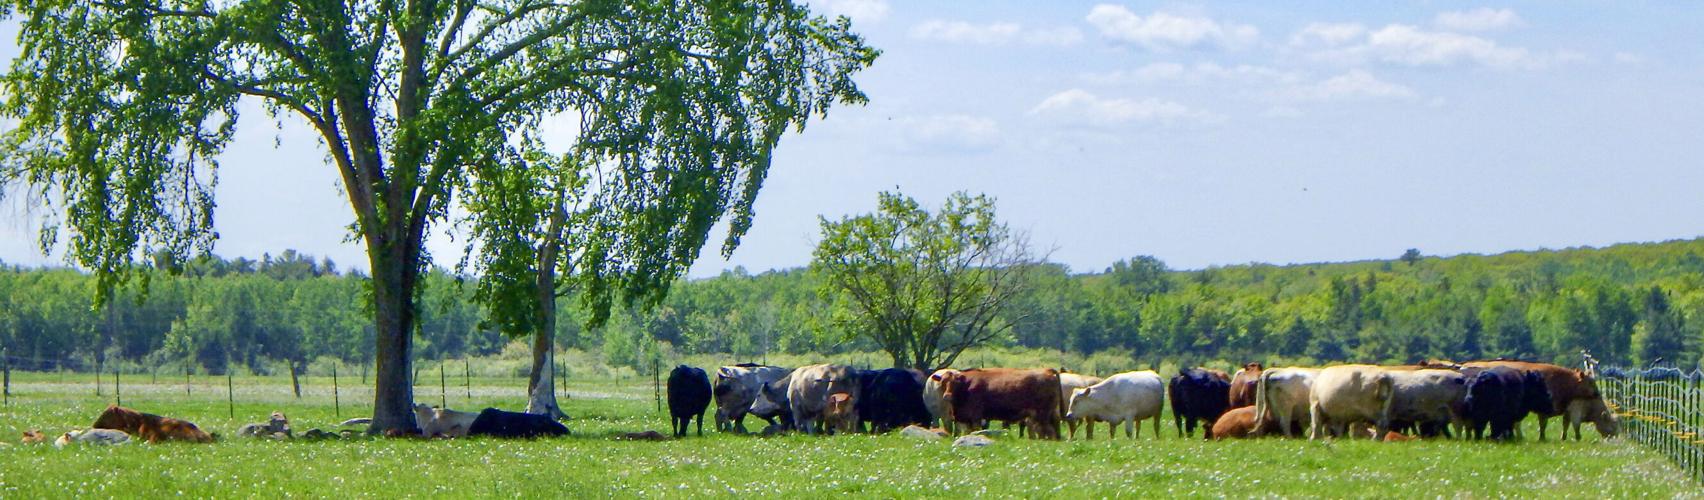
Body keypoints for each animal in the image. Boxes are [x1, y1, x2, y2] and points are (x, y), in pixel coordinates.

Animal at [1462, 360, 1619, 440]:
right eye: (1591, 382)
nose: (1597, 393)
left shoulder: (1566, 408)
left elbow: (1566, 424)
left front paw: (1564, 437)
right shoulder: (1545, 410)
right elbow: (1544, 425)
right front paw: (1542, 438)